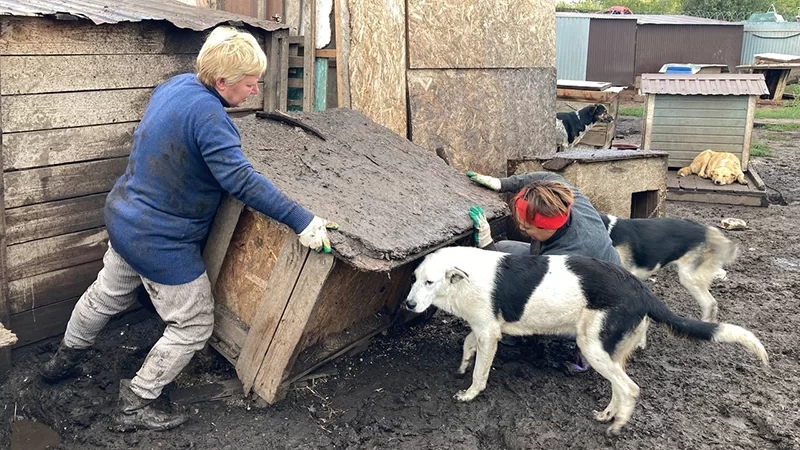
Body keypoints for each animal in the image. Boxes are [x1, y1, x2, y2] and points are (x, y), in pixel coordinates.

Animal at [406, 246, 768, 436]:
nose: (408, 305)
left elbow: (481, 371)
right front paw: (463, 365)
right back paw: (608, 414)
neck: (461, 280)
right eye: (413, 279)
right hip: (608, 350)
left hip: (592, 347)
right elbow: (468, 346)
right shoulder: (485, 328)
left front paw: (469, 393)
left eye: (429, 282)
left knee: (630, 388)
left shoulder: (489, 331)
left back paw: (617, 425)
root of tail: (640, 288)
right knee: (619, 386)